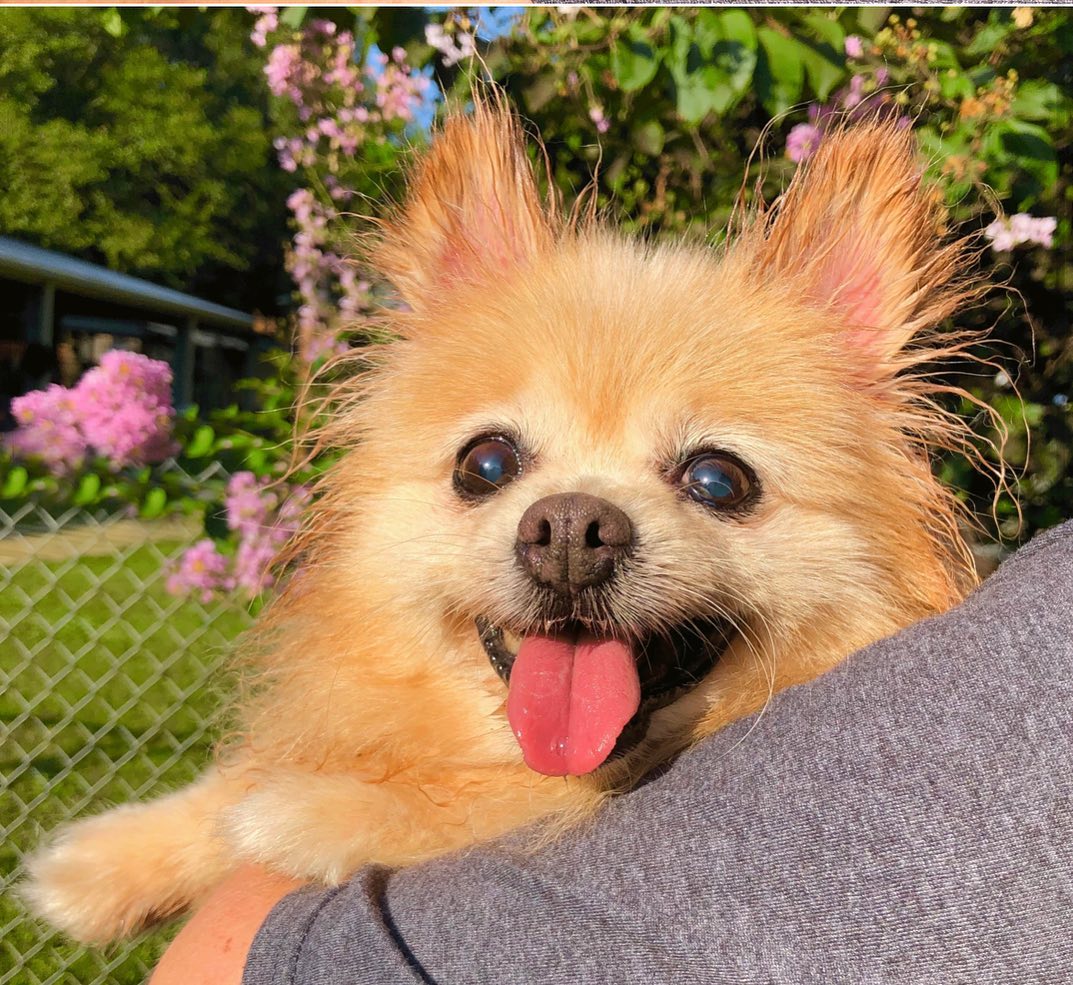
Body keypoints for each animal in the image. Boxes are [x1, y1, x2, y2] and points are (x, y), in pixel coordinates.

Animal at [23, 94, 987, 948]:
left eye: (718, 479)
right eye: (484, 464)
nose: (569, 530)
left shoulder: (553, 792)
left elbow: (505, 795)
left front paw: (322, 809)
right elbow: (246, 771)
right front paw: (112, 860)